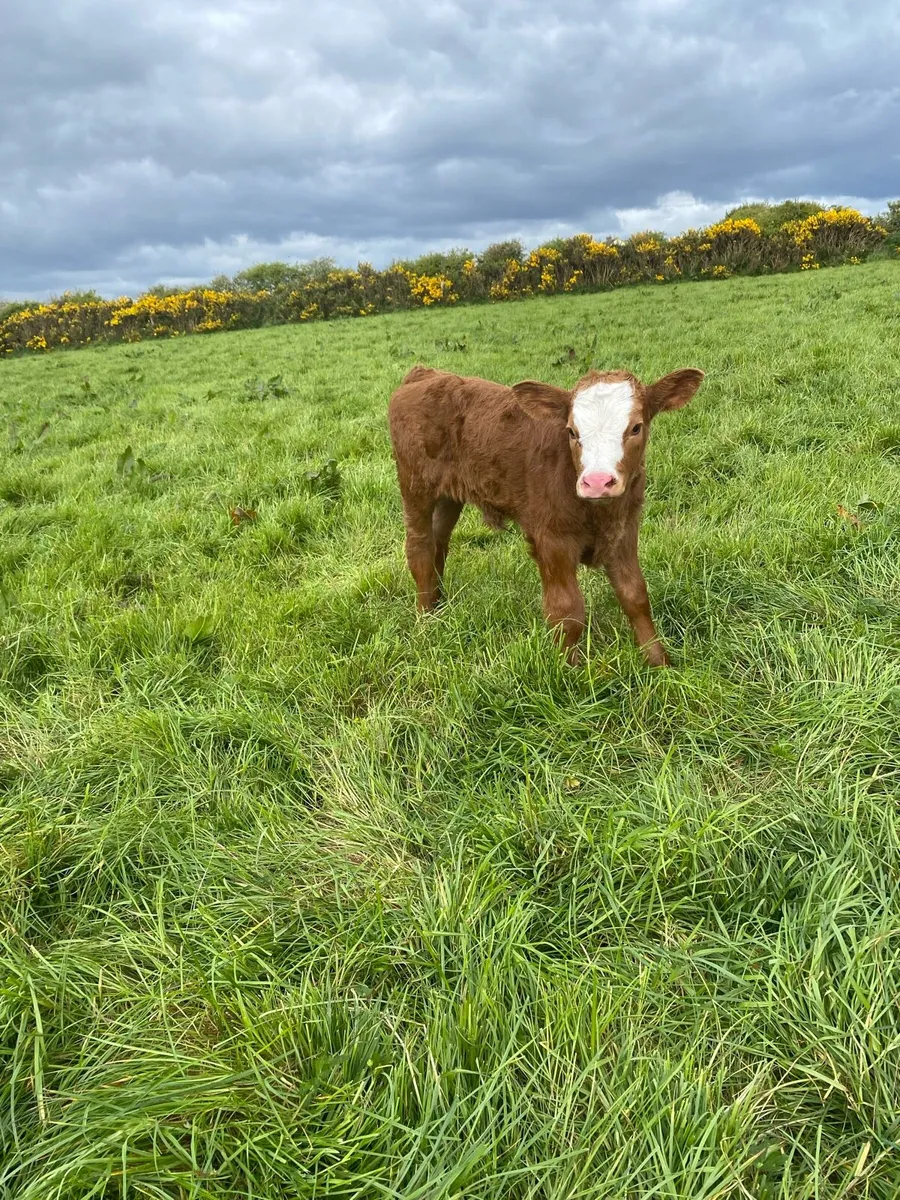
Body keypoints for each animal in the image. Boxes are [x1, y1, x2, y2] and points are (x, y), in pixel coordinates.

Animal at [388, 364, 704, 665]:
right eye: (571, 432)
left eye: (636, 428)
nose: (597, 482)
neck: (600, 513)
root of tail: (426, 374)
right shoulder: (552, 538)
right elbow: (567, 610)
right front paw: (568, 670)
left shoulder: (625, 530)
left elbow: (635, 596)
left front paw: (660, 662)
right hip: (414, 484)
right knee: (419, 547)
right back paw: (425, 621)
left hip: (449, 495)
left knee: (439, 542)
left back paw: (437, 603)